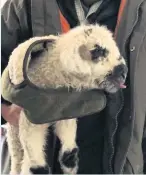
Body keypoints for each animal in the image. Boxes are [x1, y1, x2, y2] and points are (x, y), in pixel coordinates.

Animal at [5, 23, 127, 174]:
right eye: (98, 51)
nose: (123, 72)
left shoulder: (64, 112)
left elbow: (68, 154)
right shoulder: (30, 119)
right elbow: (36, 165)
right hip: (14, 130)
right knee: (17, 155)